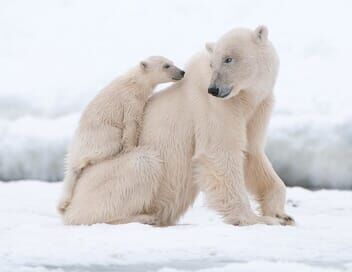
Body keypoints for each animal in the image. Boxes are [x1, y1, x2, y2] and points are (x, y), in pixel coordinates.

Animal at [57, 56, 184, 215]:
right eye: (166, 65)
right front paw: (131, 148)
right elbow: (131, 123)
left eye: (172, 62)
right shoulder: (129, 100)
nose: (182, 72)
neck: (135, 82)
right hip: (101, 135)